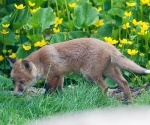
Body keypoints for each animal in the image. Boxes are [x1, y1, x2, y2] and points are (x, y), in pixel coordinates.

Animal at [6, 38, 150, 101]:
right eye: (13, 81)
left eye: (22, 82)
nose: (15, 94)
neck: (41, 61)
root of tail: (108, 45)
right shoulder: (61, 75)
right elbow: (59, 90)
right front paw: (60, 99)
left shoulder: (53, 76)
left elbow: (48, 90)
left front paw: (44, 100)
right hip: (109, 72)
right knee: (124, 83)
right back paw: (128, 102)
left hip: (90, 74)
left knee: (105, 87)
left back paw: (100, 101)